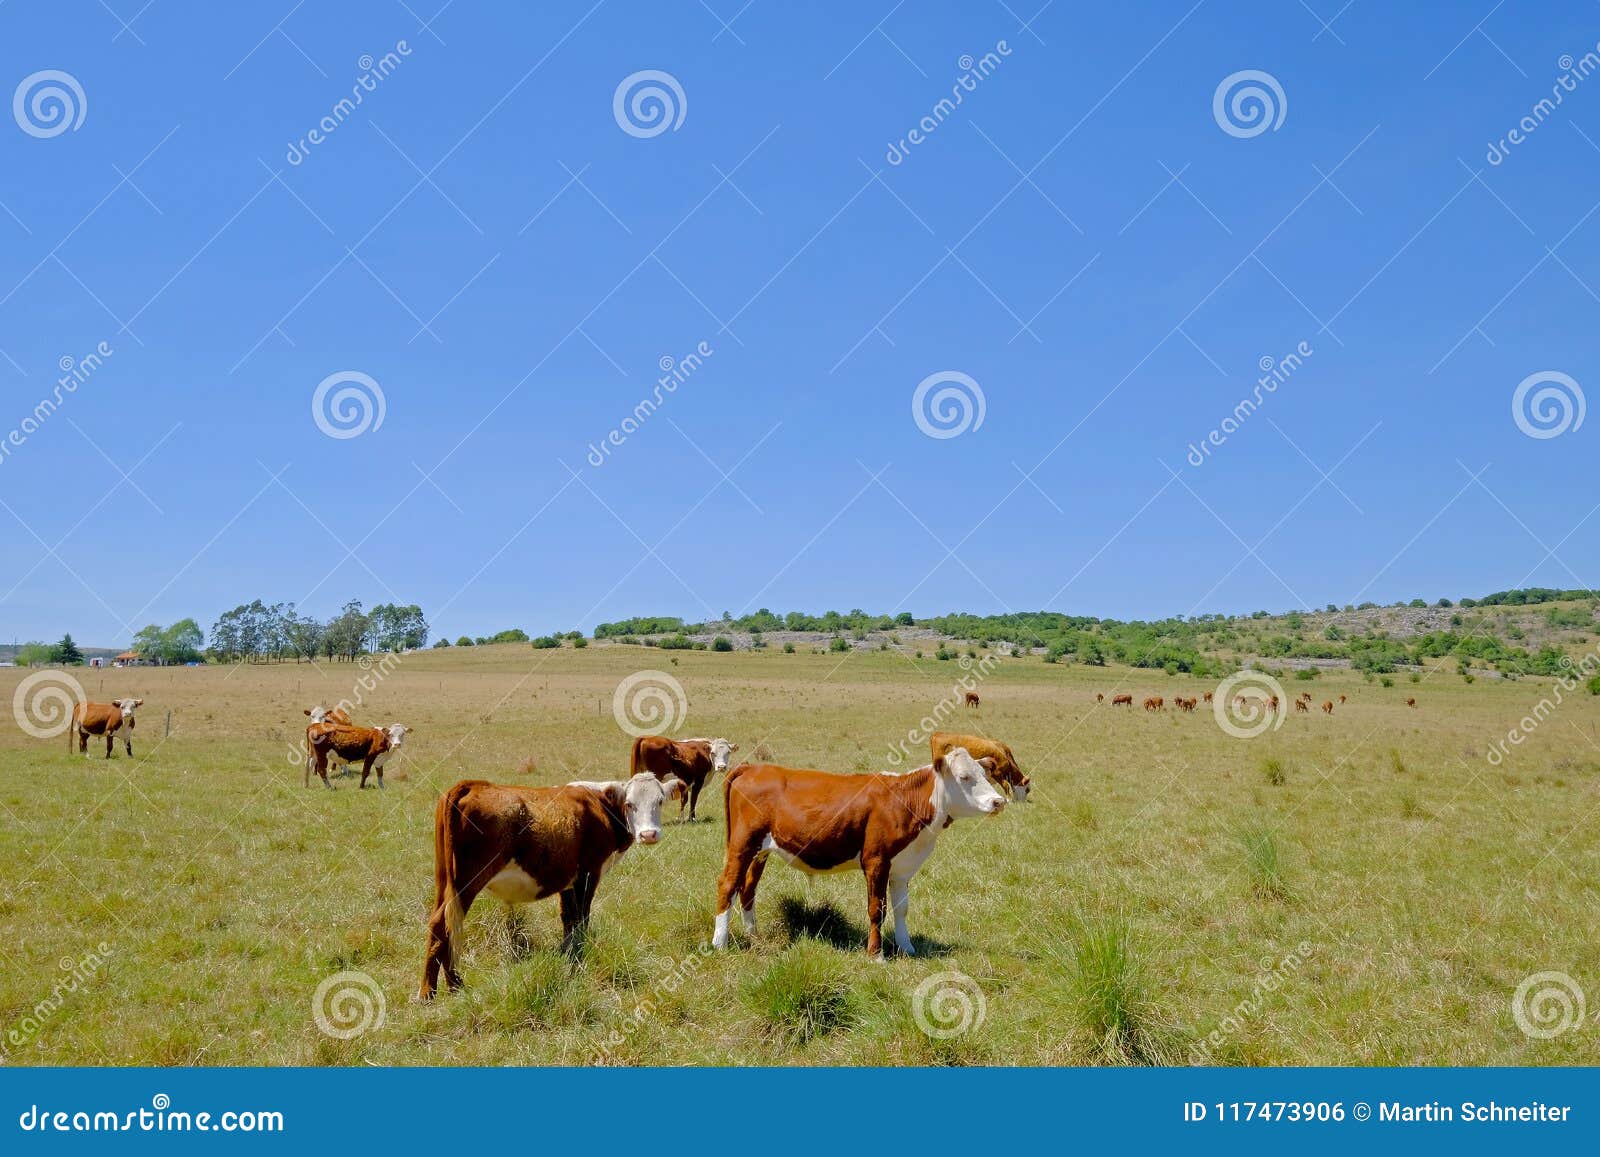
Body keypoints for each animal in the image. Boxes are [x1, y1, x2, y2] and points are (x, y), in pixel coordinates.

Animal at [419, 774, 681, 998]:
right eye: (629, 804)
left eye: (660, 801)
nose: (649, 834)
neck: (599, 805)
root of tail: (472, 785)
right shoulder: (588, 873)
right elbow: (581, 919)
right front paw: (578, 961)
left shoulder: (568, 881)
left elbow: (568, 921)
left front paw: (568, 956)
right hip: (469, 879)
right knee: (444, 924)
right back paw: (431, 992)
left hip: (445, 880)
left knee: (442, 923)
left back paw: (451, 987)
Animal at [716, 752, 1004, 960]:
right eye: (964, 776)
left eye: (985, 775)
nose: (998, 801)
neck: (905, 799)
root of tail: (753, 768)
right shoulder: (876, 861)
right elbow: (877, 908)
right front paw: (876, 954)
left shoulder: (902, 868)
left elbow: (901, 909)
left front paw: (907, 947)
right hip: (742, 845)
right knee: (728, 886)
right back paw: (720, 943)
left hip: (760, 852)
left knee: (747, 889)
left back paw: (753, 935)